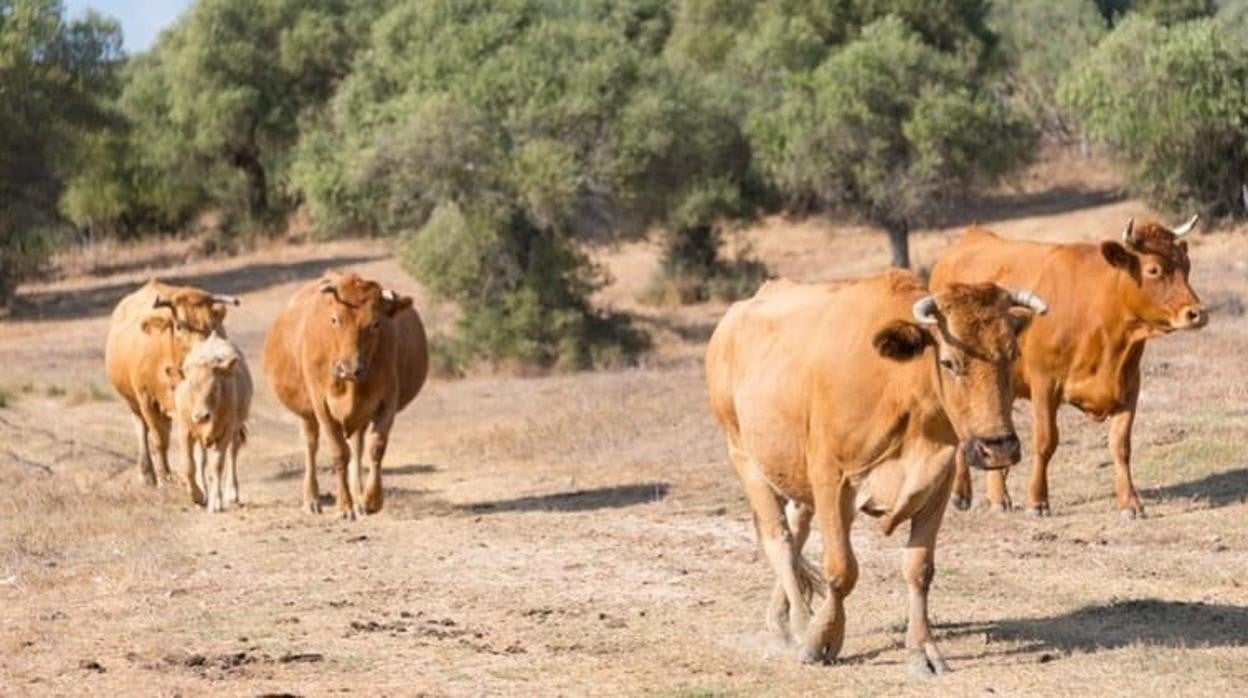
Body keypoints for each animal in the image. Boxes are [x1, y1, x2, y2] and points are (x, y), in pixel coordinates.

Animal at [172, 332, 252, 514]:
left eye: (215, 387)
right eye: (189, 387)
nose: (202, 416)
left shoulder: (226, 429)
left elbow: (217, 466)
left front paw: (216, 502)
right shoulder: (184, 429)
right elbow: (189, 465)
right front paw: (197, 496)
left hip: (236, 428)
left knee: (232, 454)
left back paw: (231, 492)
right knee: (201, 459)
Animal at [263, 272, 429, 519]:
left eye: (375, 324)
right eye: (334, 320)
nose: (349, 369)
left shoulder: (387, 401)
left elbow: (375, 448)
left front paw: (370, 500)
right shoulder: (321, 405)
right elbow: (339, 452)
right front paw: (344, 506)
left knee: (357, 447)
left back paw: (359, 497)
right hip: (307, 412)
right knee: (311, 445)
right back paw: (312, 499)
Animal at [703, 273, 1043, 679]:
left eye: (1013, 354)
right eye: (949, 361)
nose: (999, 447)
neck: (899, 389)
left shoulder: (937, 484)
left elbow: (919, 569)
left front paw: (922, 650)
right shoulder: (832, 481)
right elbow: (841, 570)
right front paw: (822, 639)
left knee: (796, 532)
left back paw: (780, 618)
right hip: (745, 458)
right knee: (780, 540)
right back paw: (801, 624)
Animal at [933, 217, 1203, 519]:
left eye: (1187, 265)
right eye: (1153, 269)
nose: (1197, 313)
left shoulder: (1130, 385)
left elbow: (1120, 445)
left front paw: (1129, 502)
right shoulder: (1044, 384)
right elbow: (1045, 441)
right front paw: (1037, 500)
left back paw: (998, 496)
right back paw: (962, 494)